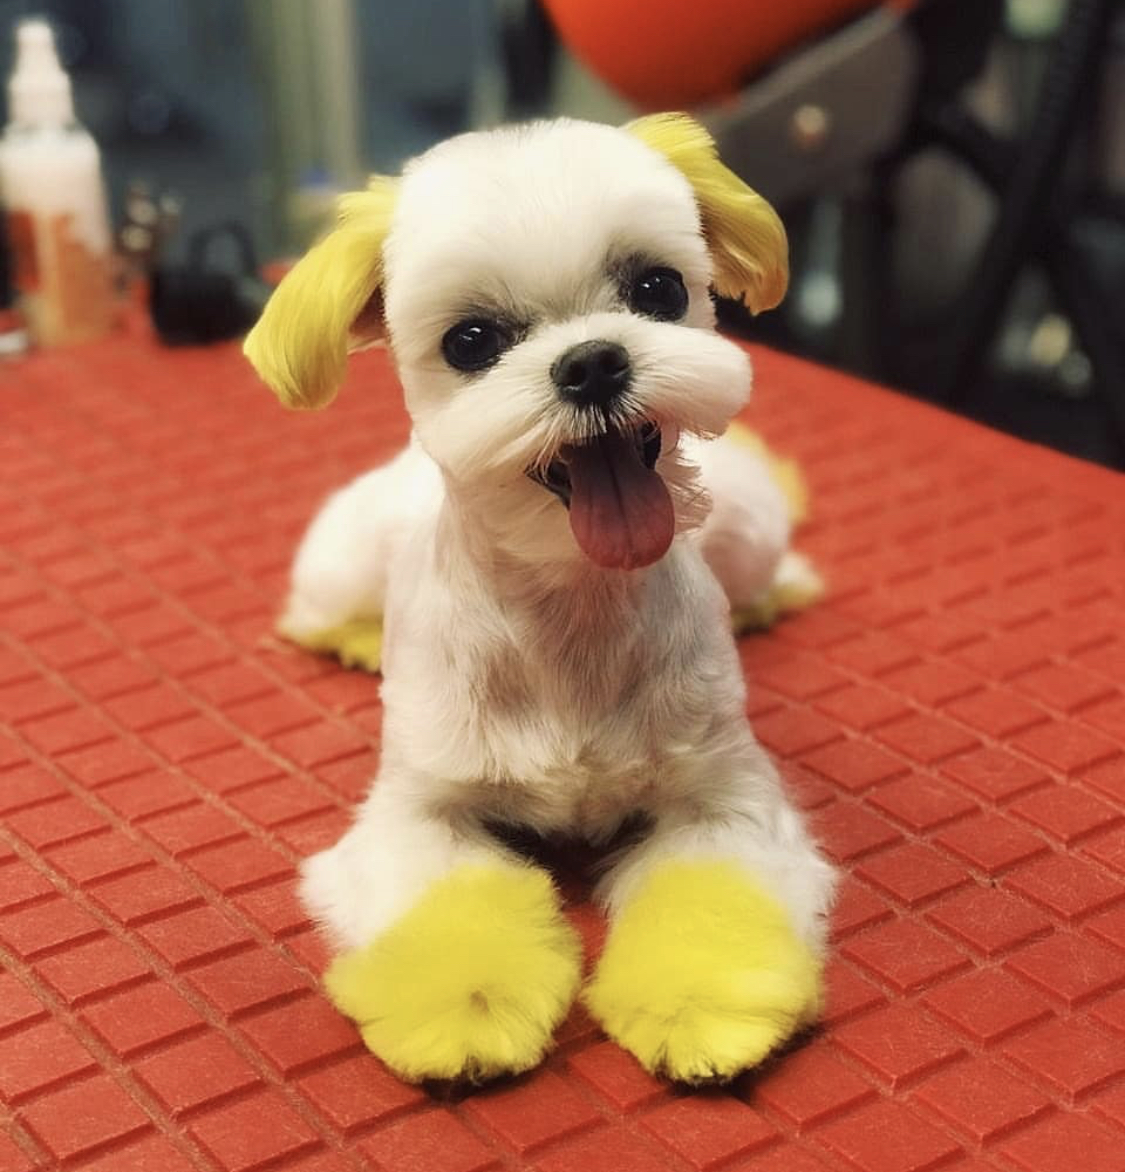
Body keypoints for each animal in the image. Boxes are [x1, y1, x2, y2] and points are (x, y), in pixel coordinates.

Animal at [248, 114, 843, 1082]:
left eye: (656, 287)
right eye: (470, 341)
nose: (593, 362)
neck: (572, 607)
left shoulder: (723, 796)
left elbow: (710, 892)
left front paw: (700, 1003)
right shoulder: (419, 811)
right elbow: (447, 902)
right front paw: (461, 1009)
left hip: (750, 530)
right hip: (340, 559)